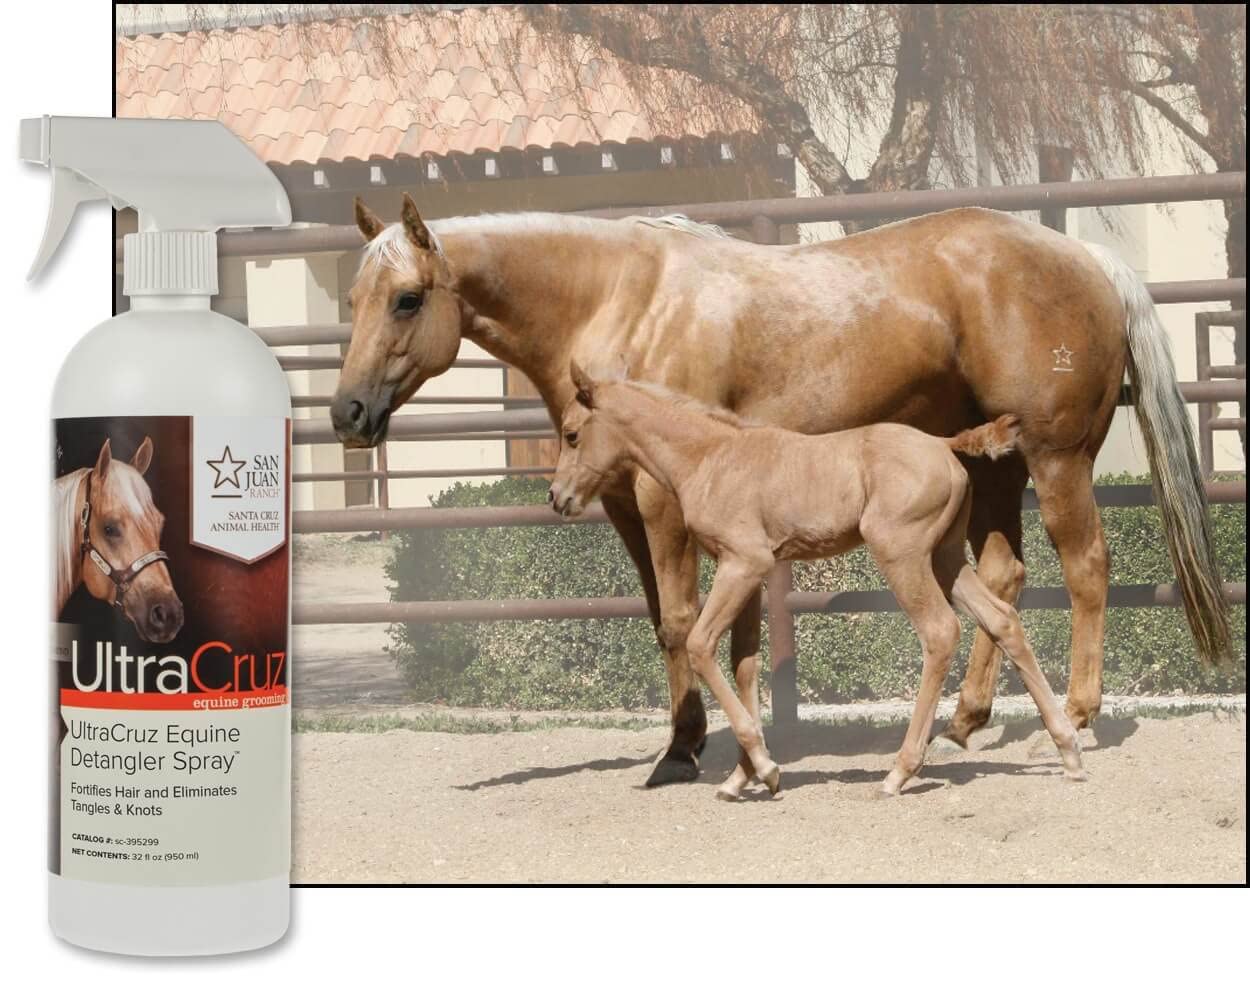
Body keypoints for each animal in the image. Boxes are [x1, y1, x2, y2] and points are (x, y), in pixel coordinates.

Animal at [549, 365, 1085, 798]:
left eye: (572, 434)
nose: (557, 497)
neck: (710, 457)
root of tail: (942, 443)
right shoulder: (747, 570)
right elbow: (745, 664)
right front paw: (742, 777)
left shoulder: (743, 563)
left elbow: (701, 646)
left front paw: (765, 769)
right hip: (945, 557)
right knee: (1003, 619)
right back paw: (1068, 751)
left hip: (903, 555)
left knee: (939, 632)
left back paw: (900, 771)